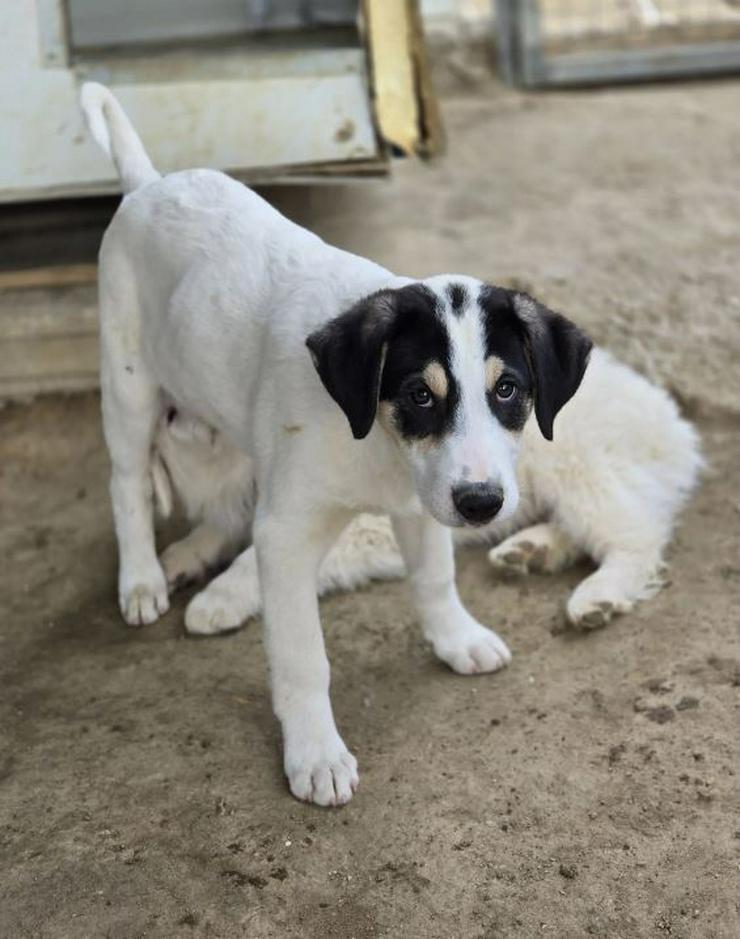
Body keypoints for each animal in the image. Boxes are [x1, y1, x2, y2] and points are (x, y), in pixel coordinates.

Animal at [81, 82, 588, 808]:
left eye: (509, 390)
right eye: (420, 394)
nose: (483, 504)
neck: (377, 437)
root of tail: (148, 183)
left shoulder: (422, 501)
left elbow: (435, 580)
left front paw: (456, 639)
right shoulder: (288, 534)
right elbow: (302, 658)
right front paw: (315, 754)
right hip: (128, 386)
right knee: (126, 485)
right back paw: (145, 578)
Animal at [155, 348, 700, 636]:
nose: (167, 403)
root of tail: (671, 422)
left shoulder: (364, 522)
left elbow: (253, 559)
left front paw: (218, 598)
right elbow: (217, 529)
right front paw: (178, 558)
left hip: (581, 473)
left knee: (636, 538)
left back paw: (599, 594)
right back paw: (532, 551)